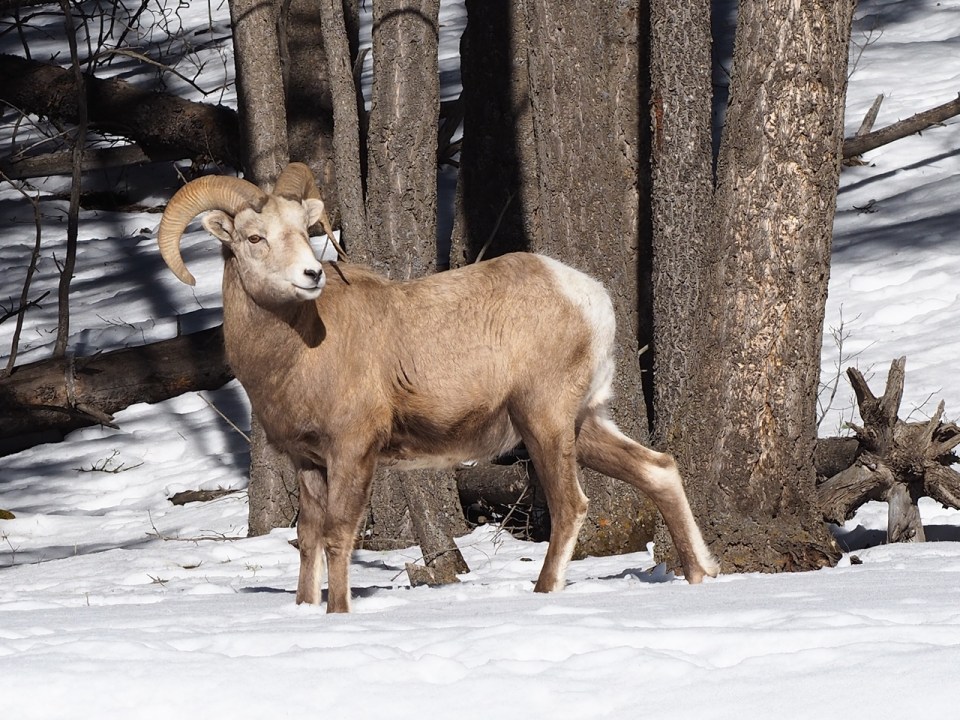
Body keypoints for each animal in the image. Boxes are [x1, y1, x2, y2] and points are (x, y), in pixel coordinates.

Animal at [157, 163, 719, 612]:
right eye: (255, 238)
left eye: (302, 230)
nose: (311, 274)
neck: (297, 353)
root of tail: (590, 297)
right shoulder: (308, 462)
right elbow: (310, 539)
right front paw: (304, 608)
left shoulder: (352, 451)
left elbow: (339, 536)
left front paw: (337, 613)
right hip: (585, 425)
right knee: (658, 470)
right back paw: (701, 575)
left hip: (544, 421)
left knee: (571, 505)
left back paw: (544, 592)